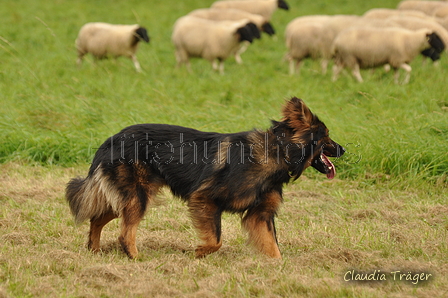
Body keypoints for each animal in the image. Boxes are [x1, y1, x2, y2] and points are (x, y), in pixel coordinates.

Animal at [65, 97, 344, 258]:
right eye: (327, 137)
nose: (344, 149)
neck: (277, 151)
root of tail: (111, 139)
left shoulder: (260, 215)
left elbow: (273, 248)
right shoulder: (206, 199)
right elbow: (216, 240)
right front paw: (199, 252)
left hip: (128, 198)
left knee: (97, 219)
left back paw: (94, 250)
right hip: (138, 197)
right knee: (124, 233)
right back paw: (135, 258)